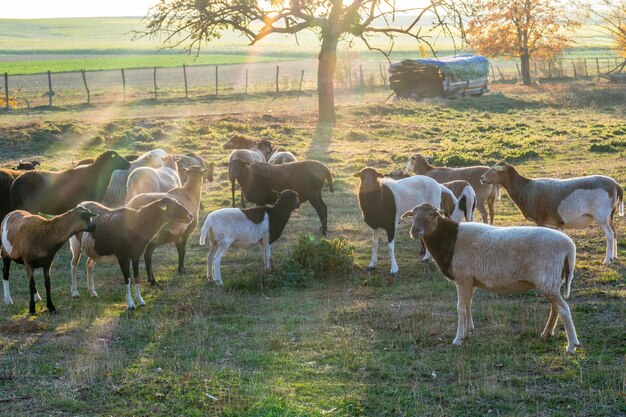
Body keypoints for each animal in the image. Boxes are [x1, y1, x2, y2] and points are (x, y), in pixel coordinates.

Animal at [402, 202, 576, 352]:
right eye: (413, 214)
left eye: (432, 214)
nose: (414, 231)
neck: (449, 240)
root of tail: (569, 248)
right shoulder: (470, 281)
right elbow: (468, 304)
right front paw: (468, 331)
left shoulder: (462, 279)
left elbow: (460, 308)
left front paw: (458, 338)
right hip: (551, 282)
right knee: (555, 308)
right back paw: (546, 333)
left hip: (547, 280)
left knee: (564, 309)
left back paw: (572, 345)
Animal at [478, 162, 620, 264]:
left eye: (495, 170)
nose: (481, 178)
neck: (525, 189)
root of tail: (615, 185)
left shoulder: (540, 218)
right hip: (609, 215)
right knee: (614, 233)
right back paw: (614, 257)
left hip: (601, 215)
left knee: (609, 235)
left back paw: (607, 260)